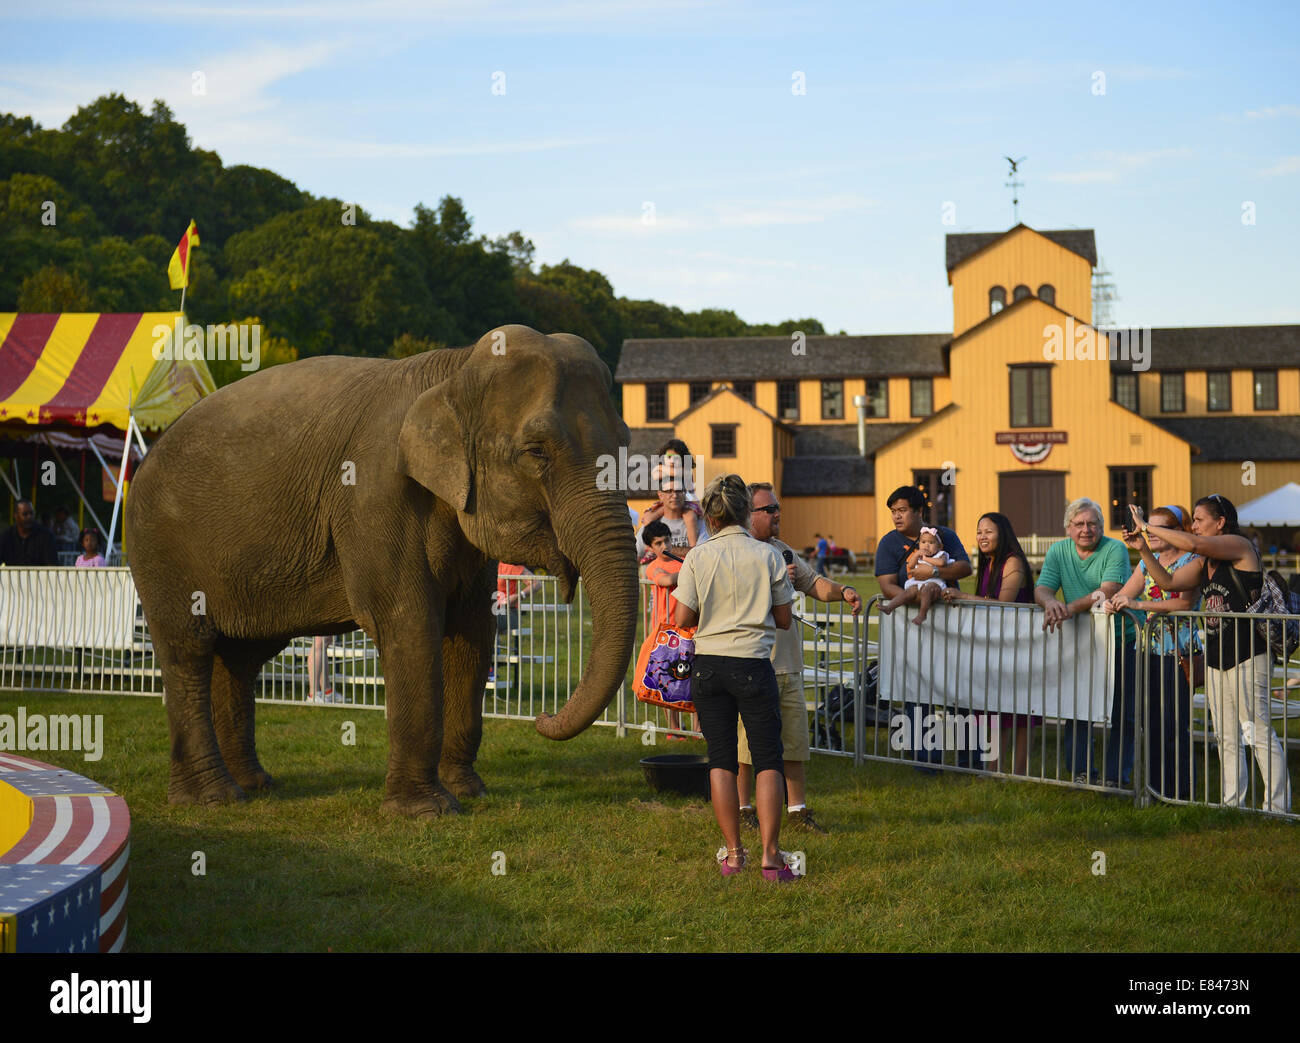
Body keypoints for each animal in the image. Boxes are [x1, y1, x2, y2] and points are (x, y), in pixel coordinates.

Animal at [126, 322, 639, 811]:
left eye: (625, 442)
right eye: (537, 451)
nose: (540, 718)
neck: (454, 371)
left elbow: (473, 630)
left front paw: (469, 792)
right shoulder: (373, 494)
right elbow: (408, 622)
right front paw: (427, 810)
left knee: (240, 657)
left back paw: (255, 785)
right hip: (161, 551)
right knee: (187, 652)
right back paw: (213, 797)